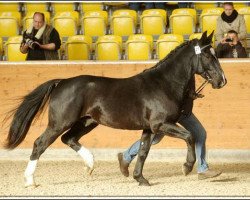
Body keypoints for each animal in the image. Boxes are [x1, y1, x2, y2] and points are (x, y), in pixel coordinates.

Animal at [4, 30, 227, 187]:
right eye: (208, 56)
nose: (222, 81)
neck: (164, 83)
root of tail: (62, 82)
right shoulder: (160, 125)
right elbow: (189, 136)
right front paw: (187, 167)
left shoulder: (149, 129)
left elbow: (143, 151)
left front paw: (140, 178)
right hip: (60, 122)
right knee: (40, 143)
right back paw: (30, 181)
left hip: (87, 122)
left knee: (68, 139)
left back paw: (90, 165)